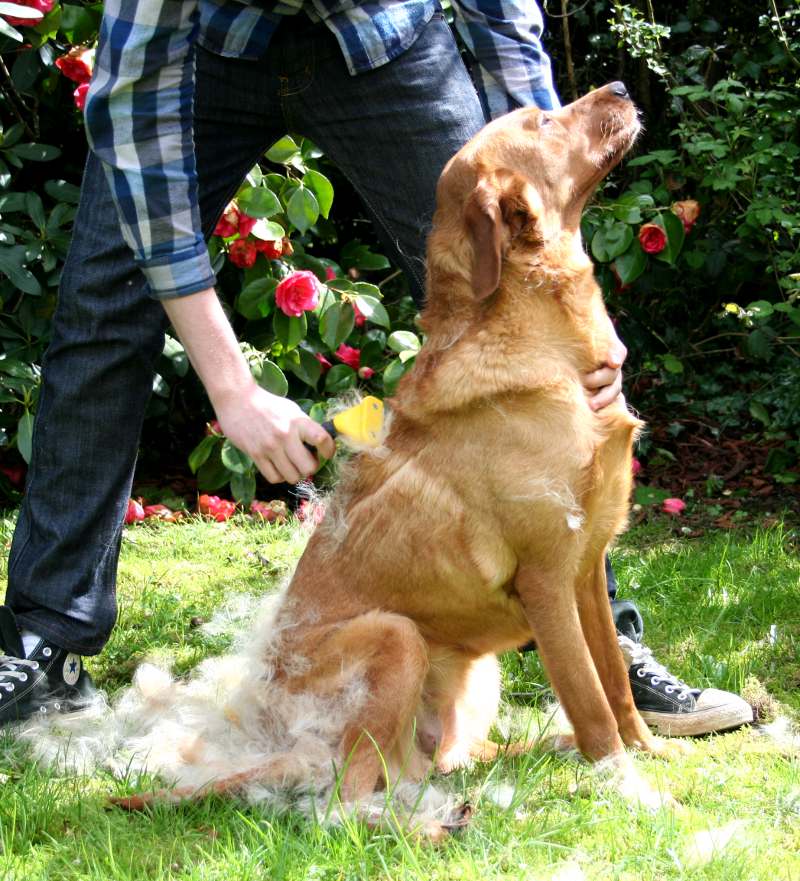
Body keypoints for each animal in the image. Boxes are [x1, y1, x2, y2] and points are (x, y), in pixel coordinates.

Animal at [108, 81, 680, 824]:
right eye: (544, 121)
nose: (619, 88)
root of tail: (283, 743)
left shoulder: (586, 569)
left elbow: (614, 680)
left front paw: (646, 751)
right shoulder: (548, 579)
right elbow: (591, 701)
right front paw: (626, 783)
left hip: (474, 677)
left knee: (441, 762)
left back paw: (521, 759)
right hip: (395, 637)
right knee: (344, 798)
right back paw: (428, 823)